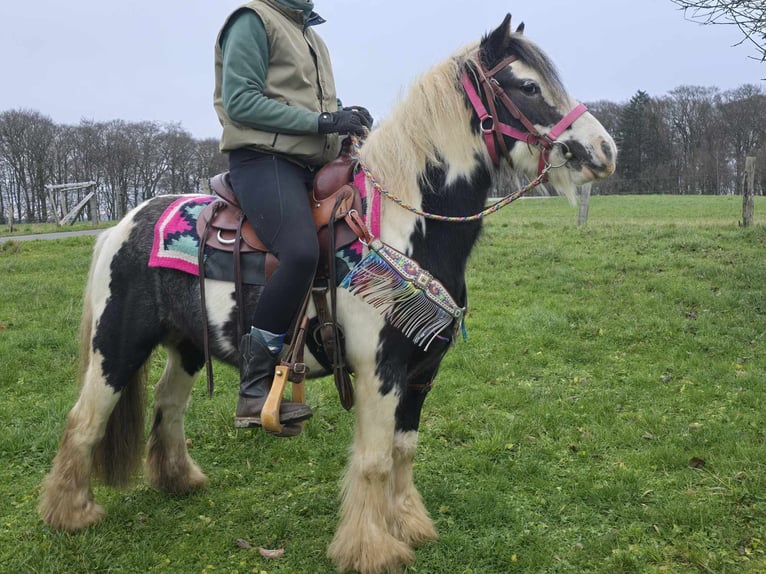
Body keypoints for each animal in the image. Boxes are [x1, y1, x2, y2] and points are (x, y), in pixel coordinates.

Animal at [40, 14, 616, 574]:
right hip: (117, 346)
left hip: (185, 346)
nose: (605, 150)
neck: (404, 227)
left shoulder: (422, 371)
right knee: (84, 419)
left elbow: (405, 450)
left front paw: (409, 524)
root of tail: (124, 224)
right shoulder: (380, 372)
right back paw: (71, 512)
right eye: (528, 86)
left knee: (168, 405)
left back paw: (178, 479)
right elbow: (375, 460)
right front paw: (371, 549)